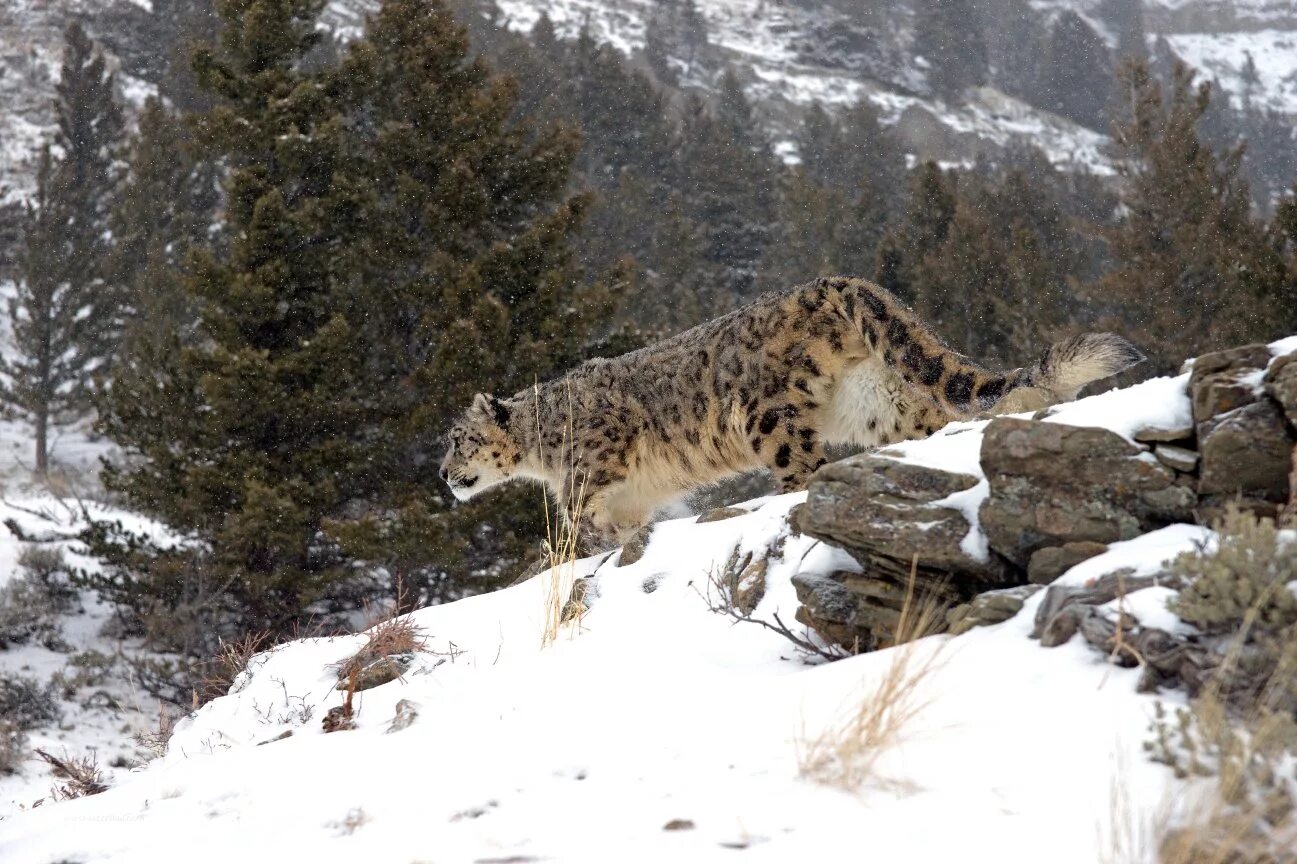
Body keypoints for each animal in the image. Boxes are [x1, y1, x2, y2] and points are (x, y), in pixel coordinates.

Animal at [438, 276, 1146, 547]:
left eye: (457, 440)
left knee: (802, 469)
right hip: (880, 401)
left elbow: (577, 521)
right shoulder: (632, 497)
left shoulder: (591, 472)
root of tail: (829, 283)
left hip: (767, 417)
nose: (442, 476)